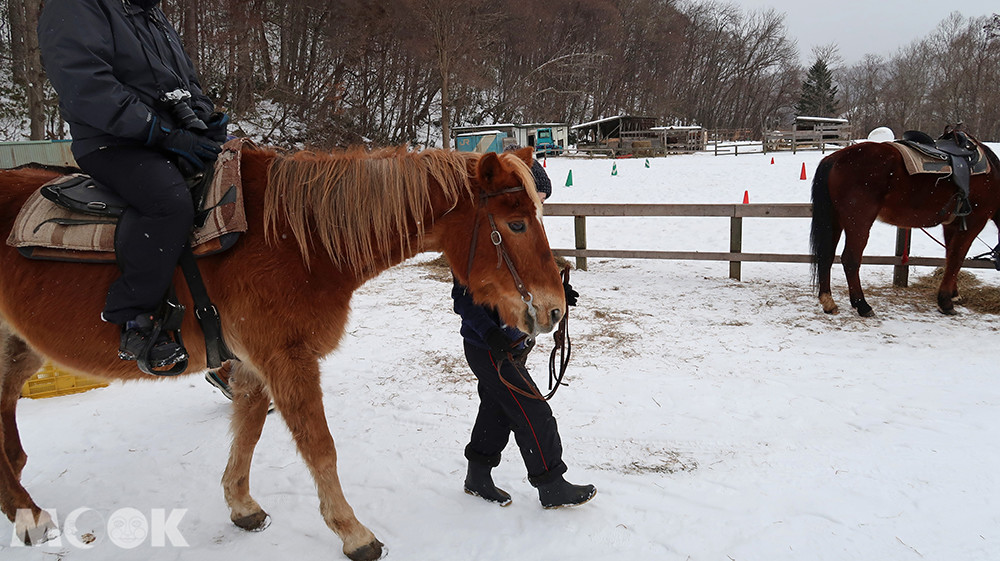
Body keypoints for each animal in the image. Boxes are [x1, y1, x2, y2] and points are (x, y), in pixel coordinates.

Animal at [0, 145, 566, 560]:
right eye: (516, 225)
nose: (555, 310)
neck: (298, 240)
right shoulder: (286, 358)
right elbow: (320, 446)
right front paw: (354, 534)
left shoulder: (254, 365)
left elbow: (248, 430)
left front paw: (241, 505)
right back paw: (30, 517)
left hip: (18, 349)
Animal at [810, 134, 1000, 317]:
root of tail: (834, 158)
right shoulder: (975, 221)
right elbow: (956, 258)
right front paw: (945, 302)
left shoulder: (952, 224)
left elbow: (949, 256)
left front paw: (954, 294)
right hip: (859, 222)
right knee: (850, 259)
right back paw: (862, 305)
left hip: (835, 220)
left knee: (827, 255)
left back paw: (829, 302)